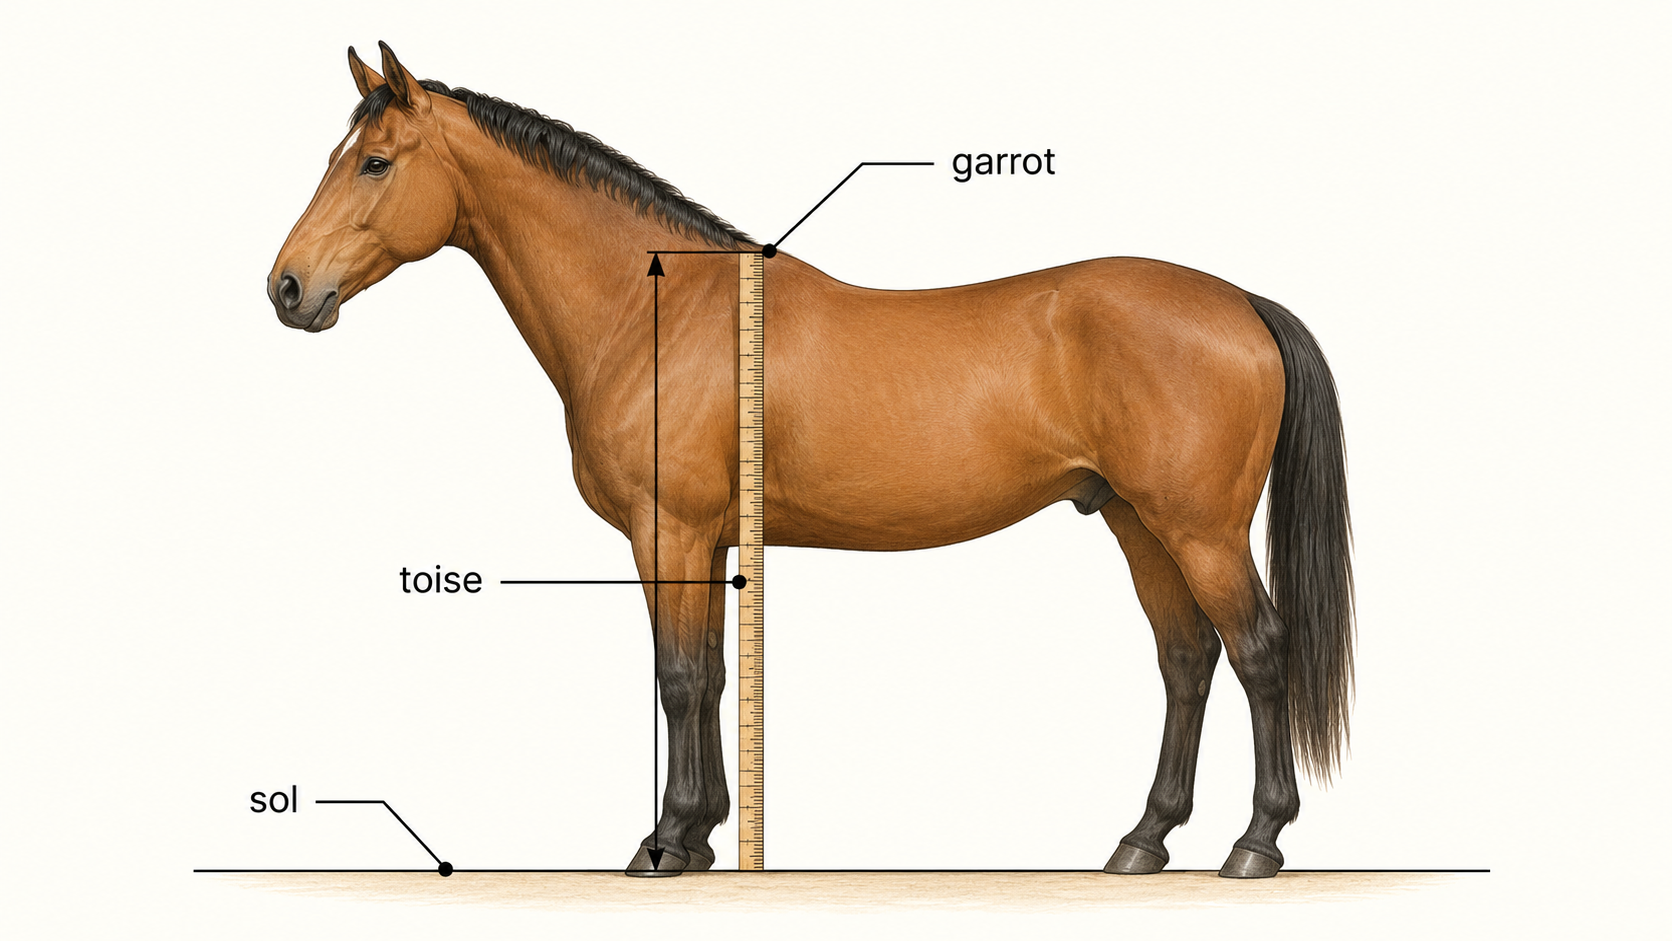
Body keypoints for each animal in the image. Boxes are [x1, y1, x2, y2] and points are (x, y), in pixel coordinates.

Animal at [267, 43, 1353, 879]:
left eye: (373, 162)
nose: (286, 288)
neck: (659, 314)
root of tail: (1241, 301)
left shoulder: (667, 529)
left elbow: (677, 676)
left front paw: (663, 843)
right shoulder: (705, 540)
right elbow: (709, 674)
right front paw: (701, 835)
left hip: (1198, 527)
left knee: (1259, 650)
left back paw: (1255, 843)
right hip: (1135, 518)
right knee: (1186, 658)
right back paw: (1143, 839)